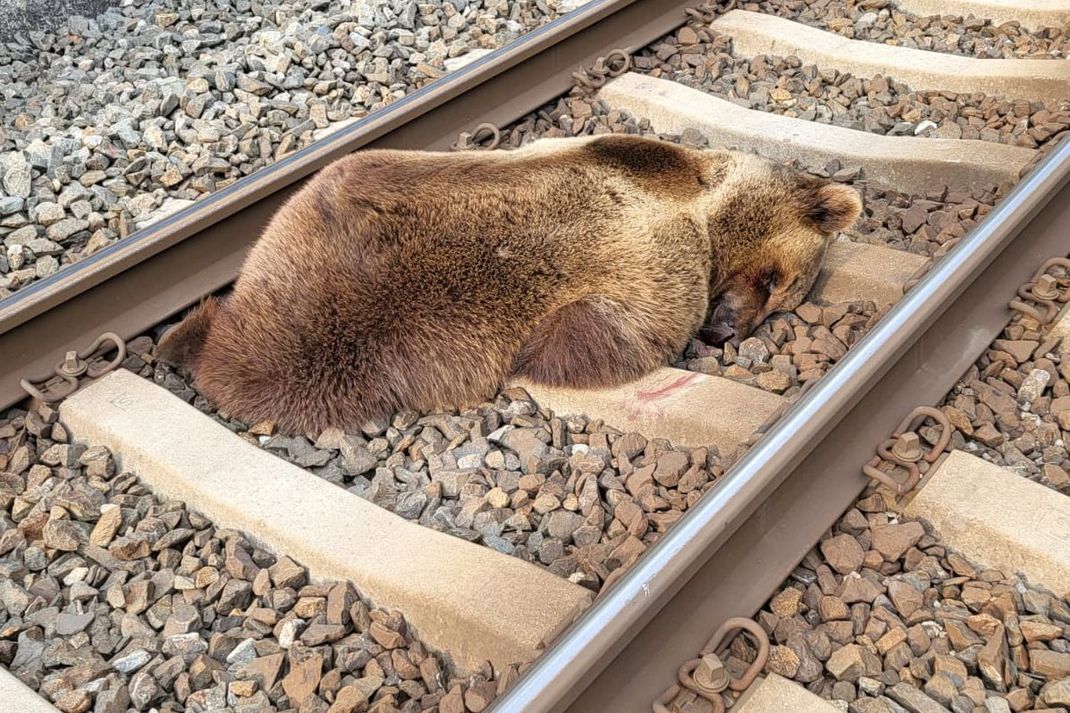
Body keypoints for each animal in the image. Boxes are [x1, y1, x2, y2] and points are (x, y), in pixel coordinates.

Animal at [156, 133, 860, 432]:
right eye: (777, 278)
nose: (726, 328)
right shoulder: (661, 246)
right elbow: (622, 330)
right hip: (327, 294)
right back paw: (185, 339)